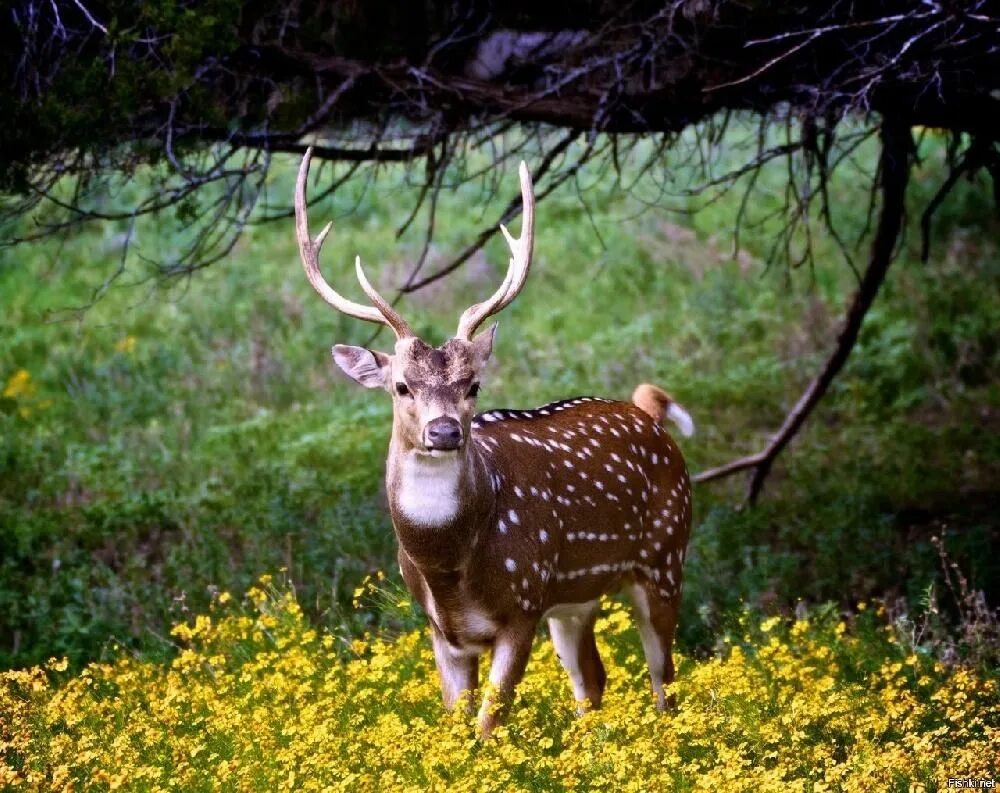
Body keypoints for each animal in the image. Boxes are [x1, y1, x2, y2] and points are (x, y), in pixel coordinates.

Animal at [292, 147, 692, 736]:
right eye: (401, 385)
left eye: (473, 384)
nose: (444, 430)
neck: (450, 567)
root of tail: (647, 412)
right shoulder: (441, 631)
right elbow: (459, 725)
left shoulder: (521, 605)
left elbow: (487, 724)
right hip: (574, 598)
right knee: (592, 679)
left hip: (664, 555)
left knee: (665, 679)